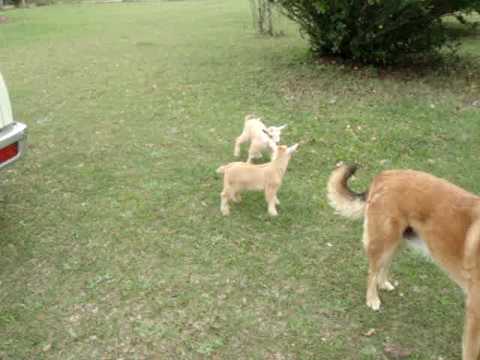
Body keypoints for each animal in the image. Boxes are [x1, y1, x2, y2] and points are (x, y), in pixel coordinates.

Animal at [328, 164, 480, 360]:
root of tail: (385, 174)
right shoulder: (474, 313)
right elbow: (471, 352)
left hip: (397, 240)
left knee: (384, 266)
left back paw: (383, 283)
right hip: (384, 239)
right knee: (372, 271)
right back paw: (372, 299)